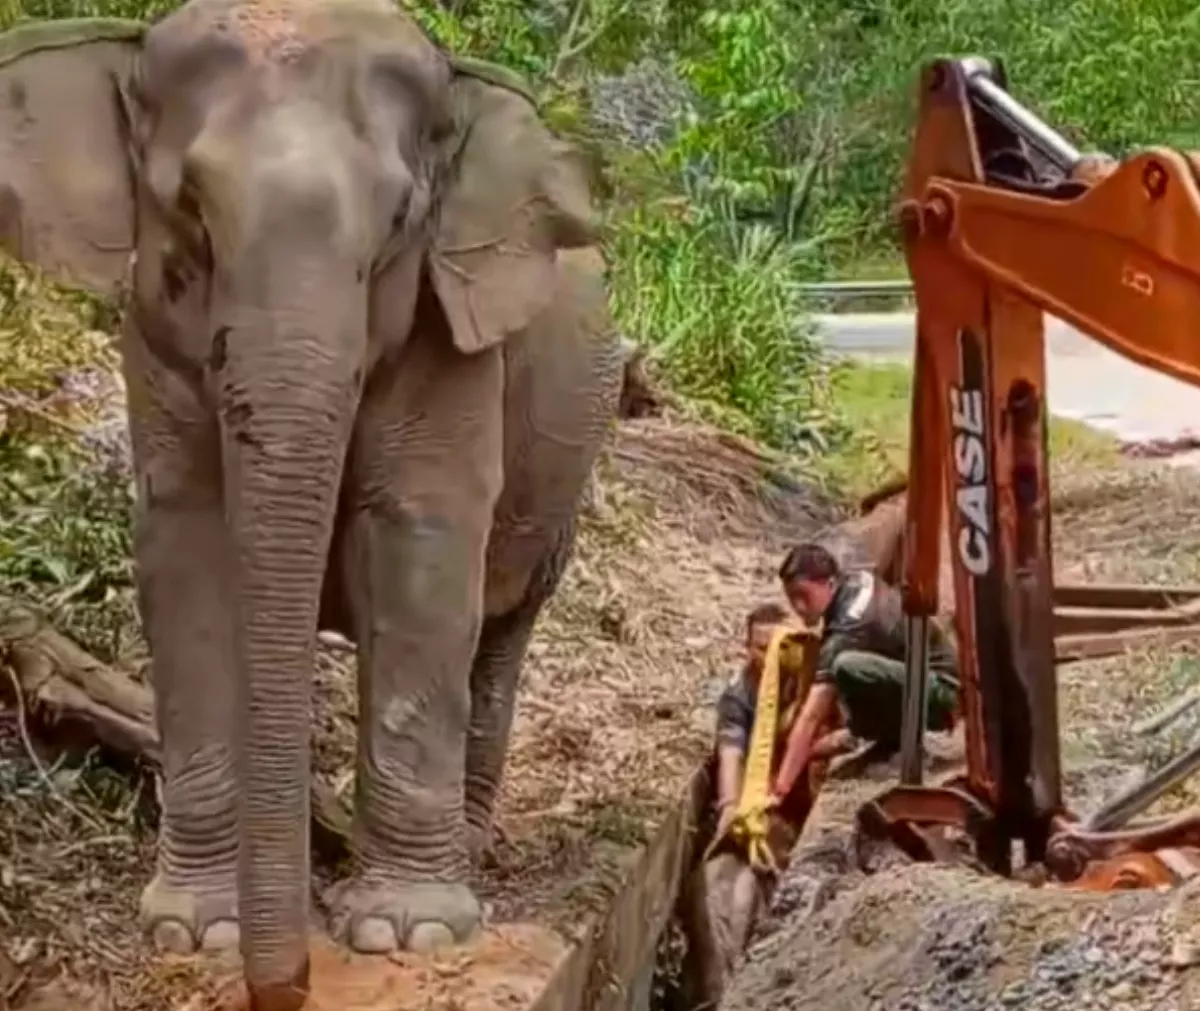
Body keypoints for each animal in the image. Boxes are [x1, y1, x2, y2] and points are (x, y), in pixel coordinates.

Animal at [0, 4, 623, 1007]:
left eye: (401, 222)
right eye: (190, 209)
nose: (284, 987)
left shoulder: (447, 344)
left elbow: (422, 549)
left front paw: (406, 930)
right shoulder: (154, 347)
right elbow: (186, 558)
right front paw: (194, 928)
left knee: (499, 632)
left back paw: (469, 853)